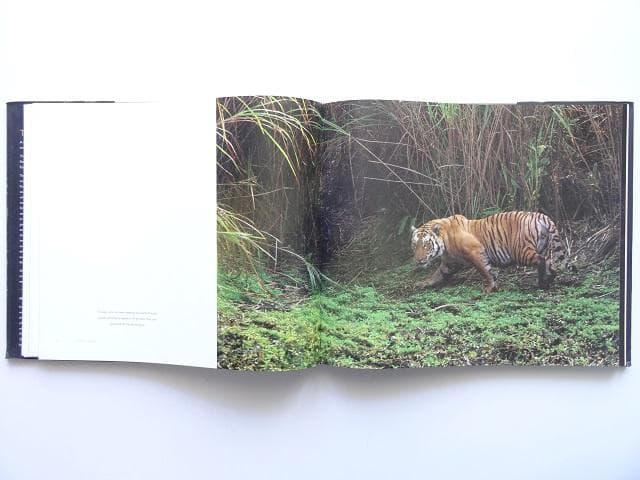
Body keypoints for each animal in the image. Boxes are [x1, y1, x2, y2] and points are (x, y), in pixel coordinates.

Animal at [410, 211, 567, 293]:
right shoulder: (451, 262)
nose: (418, 260)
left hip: (521, 251)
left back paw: (541, 283)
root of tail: (541, 217)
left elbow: (484, 270)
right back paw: (548, 280)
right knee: (551, 265)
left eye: (426, 245)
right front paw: (425, 283)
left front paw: (491, 287)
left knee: (541, 261)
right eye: (414, 245)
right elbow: (438, 274)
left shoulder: (475, 252)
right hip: (544, 247)